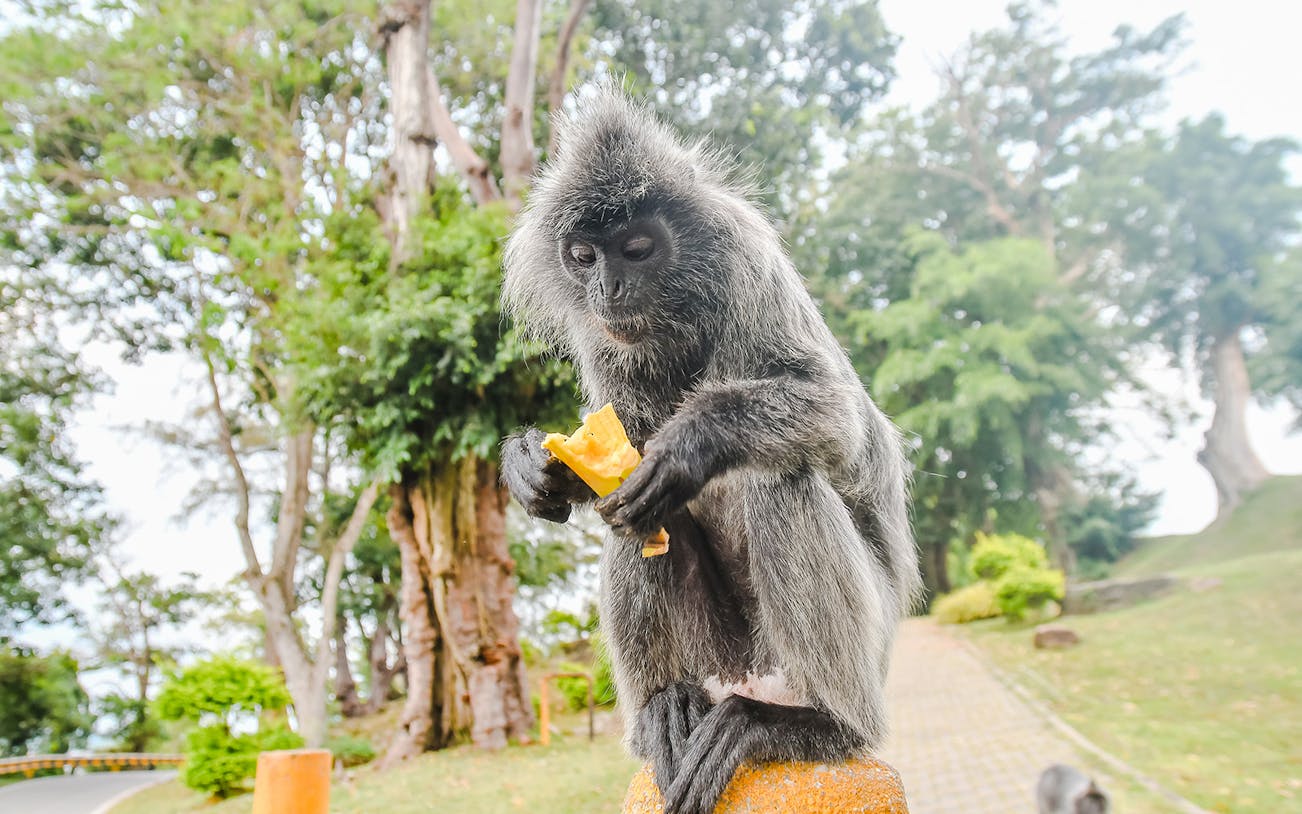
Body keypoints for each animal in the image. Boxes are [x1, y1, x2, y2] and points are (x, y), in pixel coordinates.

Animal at [500, 87, 920, 814]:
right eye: (583, 257)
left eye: (637, 247)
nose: (607, 290)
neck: (678, 321)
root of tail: (753, 675)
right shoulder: (607, 343)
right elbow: (618, 450)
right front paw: (537, 468)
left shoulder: (747, 268)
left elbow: (838, 418)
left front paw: (690, 446)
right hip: (720, 652)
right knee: (633, 521)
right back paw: (663, 711)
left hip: (860, 643)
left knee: (783, 479)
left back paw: (820, 724)